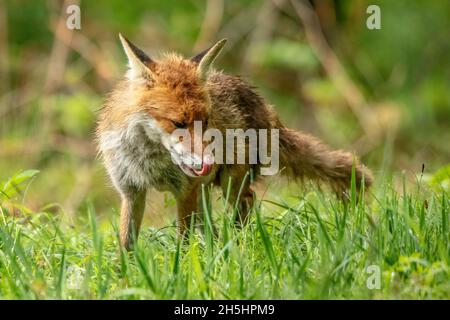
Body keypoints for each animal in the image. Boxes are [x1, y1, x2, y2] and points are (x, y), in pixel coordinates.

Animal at [96, 35, 372, 250]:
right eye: (177, 123)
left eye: (206, 120)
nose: (208, 161)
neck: (149, 159)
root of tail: (264, 104)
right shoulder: (131, 191)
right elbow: (126, 244)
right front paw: (125, 276)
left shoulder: (185, 190)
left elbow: (183, 242)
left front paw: (181, 270)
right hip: (205, 192)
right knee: (210, 226)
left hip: (230, 183)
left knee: (246, 201)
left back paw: (240, 246)